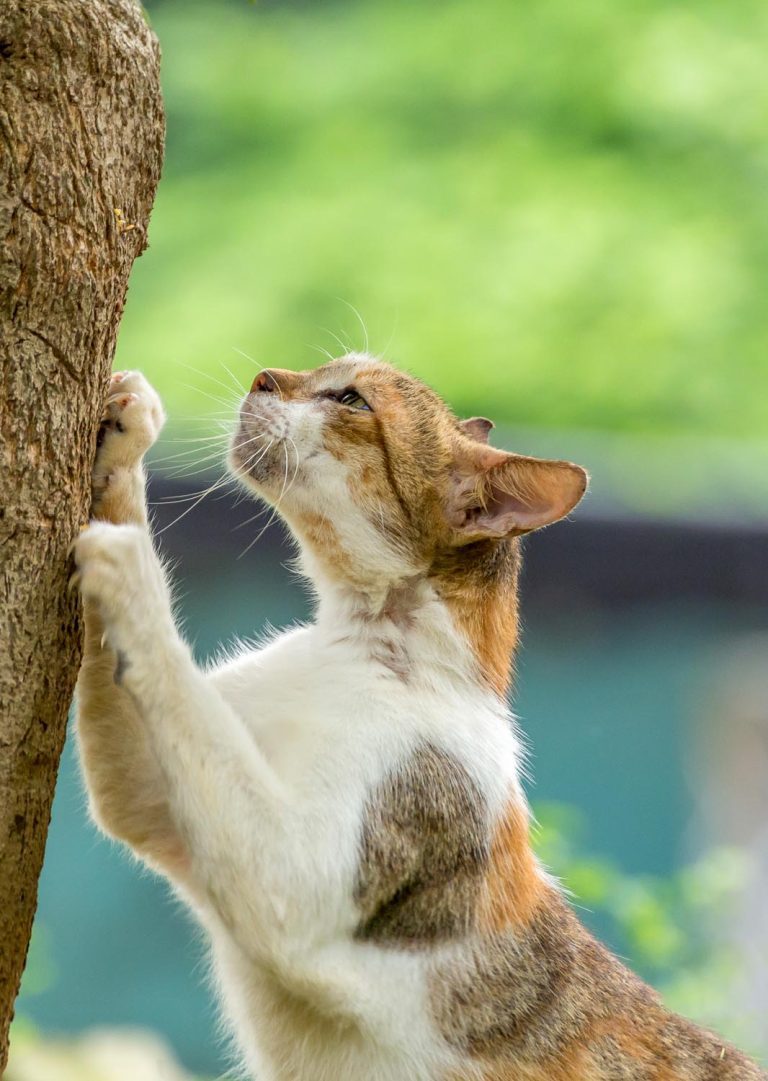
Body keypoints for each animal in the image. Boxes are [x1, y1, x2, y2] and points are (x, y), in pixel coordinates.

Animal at [73, 358, 768, 1076]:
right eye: (321, 371)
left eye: (352, 400)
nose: (266, 375)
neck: (357, 648)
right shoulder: (154, 804)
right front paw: (126, 434)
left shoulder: (287, 883)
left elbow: (175, 673)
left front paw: (130, 566)